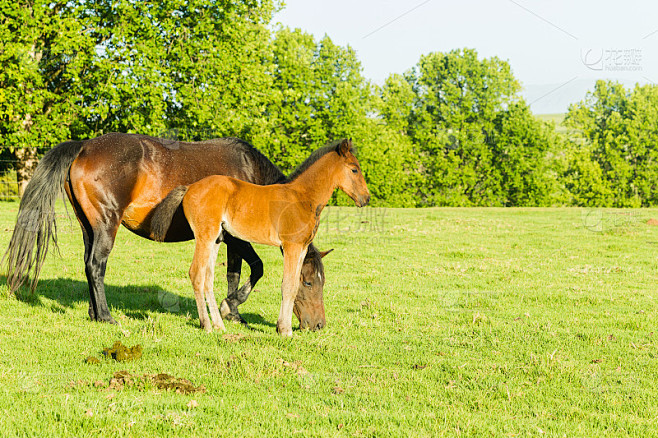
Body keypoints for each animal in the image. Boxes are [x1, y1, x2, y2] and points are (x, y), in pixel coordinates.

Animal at [3, 133, 331, 330]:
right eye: (309, 282)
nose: (318, 325)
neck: (249, 177)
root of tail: (84, 147)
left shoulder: (226, 239)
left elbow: (234, 273)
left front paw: (232, 312)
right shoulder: (235, 237)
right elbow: (256, 267)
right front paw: (230, 307)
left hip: (89, 228)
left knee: (87, 265)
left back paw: (94, 313)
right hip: (106, 224)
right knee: (96, 265)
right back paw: (106, 317)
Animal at [150, 138, 370, 336]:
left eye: (322, 281)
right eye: (354, 170)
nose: (365, 198)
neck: (301, 198)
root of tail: (189, 187)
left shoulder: (301, 248)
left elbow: (290, 284)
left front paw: (283, 327)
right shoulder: (291, 246)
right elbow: (288, 286)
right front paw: (285, 330)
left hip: (216, 239)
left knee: (207, 278)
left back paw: (219, 325)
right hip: (205, 237)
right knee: (196, 274)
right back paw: (207, 326)